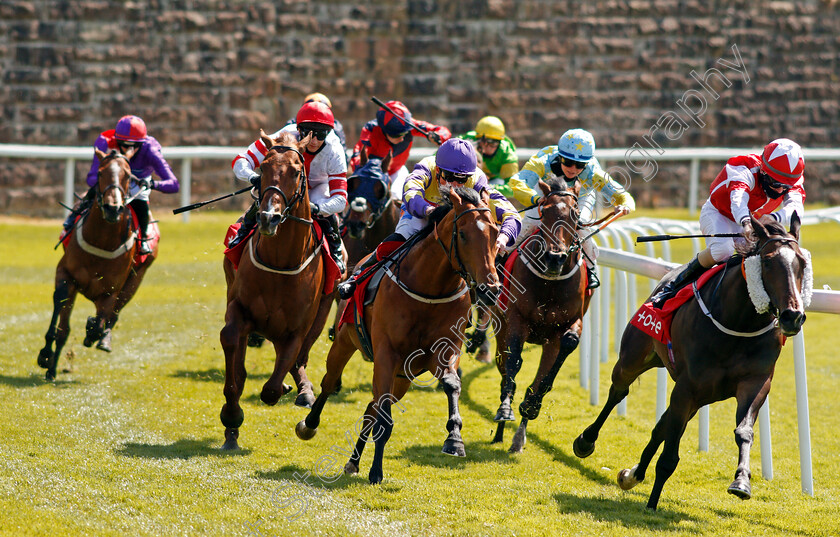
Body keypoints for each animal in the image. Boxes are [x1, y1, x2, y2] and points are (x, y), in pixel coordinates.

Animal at [37, 147, 158, 382]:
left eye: (128, 176)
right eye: (100, 173)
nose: (113, 208)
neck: (102, 241)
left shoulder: (111, 291)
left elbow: (101, 321)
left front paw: (93, 331)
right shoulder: (65, 274)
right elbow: (60, 313)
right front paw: (46, 356)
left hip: (135, 280)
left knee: (114, 314)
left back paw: (103, 340)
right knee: (65, 327)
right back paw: (53, 368)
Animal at [220, 129, 338, 448]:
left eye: (297, 172)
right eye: (263, 168)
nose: (268, 217)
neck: (280, 261)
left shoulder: (297, 328)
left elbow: (272, 387)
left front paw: (289, 389)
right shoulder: (239, 309)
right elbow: (232, 347)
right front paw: (231, 416)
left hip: (323, 311)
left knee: (299, 359)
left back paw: (303, 389)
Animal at [296, 186, 502, 484]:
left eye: (496, 233)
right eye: (463, 234)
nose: (491, 289)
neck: (430, 289)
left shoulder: (443, 351)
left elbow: (451, 384)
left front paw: (454, 439)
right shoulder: (386, 353)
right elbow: (384, 418)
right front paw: (376, 471)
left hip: (402, 378)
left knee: (371, 407)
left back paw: (353, 461)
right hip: (347, 342)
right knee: (329, 383)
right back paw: (310, 424)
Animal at [486, 179, 592, 452]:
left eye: (575, 214)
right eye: (544, 211)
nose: (555, 258)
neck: (551, 284)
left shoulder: (567, 324)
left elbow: (563, 350)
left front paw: (531, 405)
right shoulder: (517, 319)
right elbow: (513, 363)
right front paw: (506, 410)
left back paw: (519, 435)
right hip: (500, 329)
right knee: (504, 370)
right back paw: (501, 431)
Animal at [576, 211, 812, 508]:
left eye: (802, 262)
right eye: (768, 262)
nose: (793, 316)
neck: (738, 323)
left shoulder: (755, 382)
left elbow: (744, 431)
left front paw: (742, 481)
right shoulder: (687, 387)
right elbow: (669, 457)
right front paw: (652, 504)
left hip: (700, 397)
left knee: (660, 426)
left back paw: (632, 474)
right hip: (635, 359)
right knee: (619, 391)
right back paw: (586, 441)